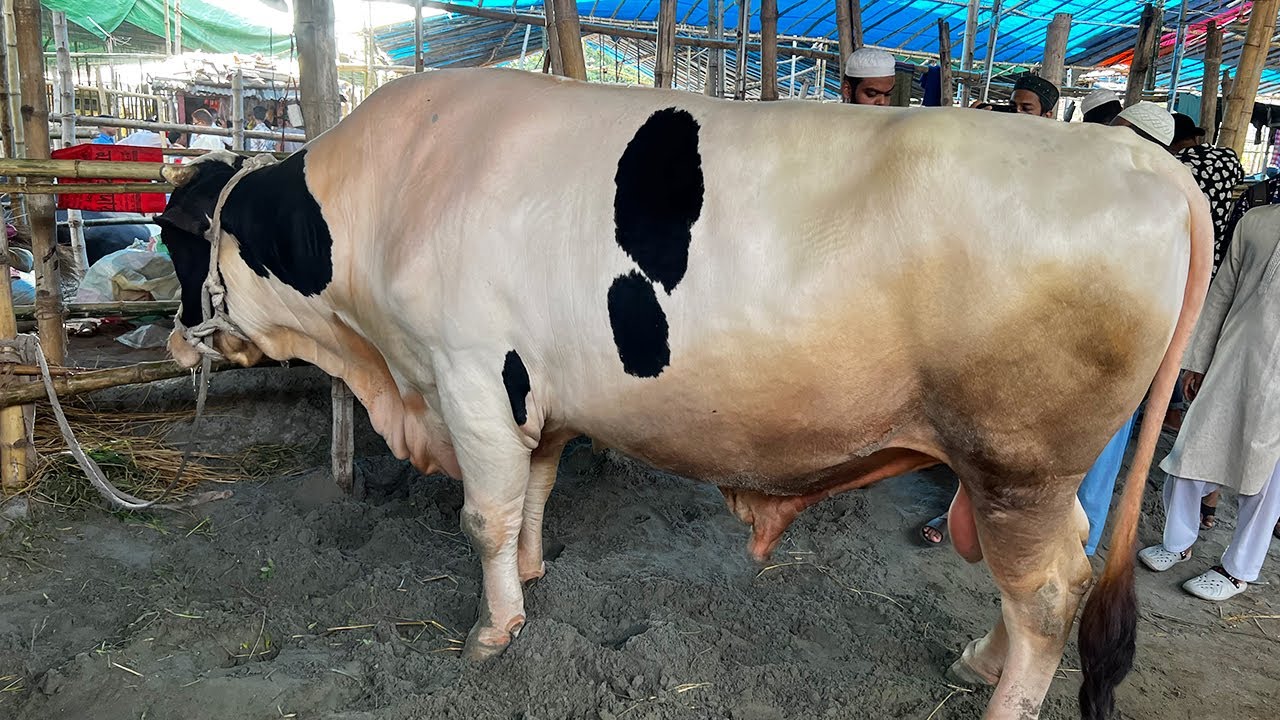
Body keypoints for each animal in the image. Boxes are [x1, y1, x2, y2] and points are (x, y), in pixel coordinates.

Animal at [154, 68, 1211, 720]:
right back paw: (981, 660)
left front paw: (494, 633)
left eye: (175, 234)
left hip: (1014, 460)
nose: (171, 337)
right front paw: (535, 578)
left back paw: (1002, 695)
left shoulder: (470, 374)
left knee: (1048, 594)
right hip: (1035, 472)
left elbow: (485, 515)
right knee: (1052, 570)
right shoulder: (537, 393)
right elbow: (535, 492)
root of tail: (1146, 164)